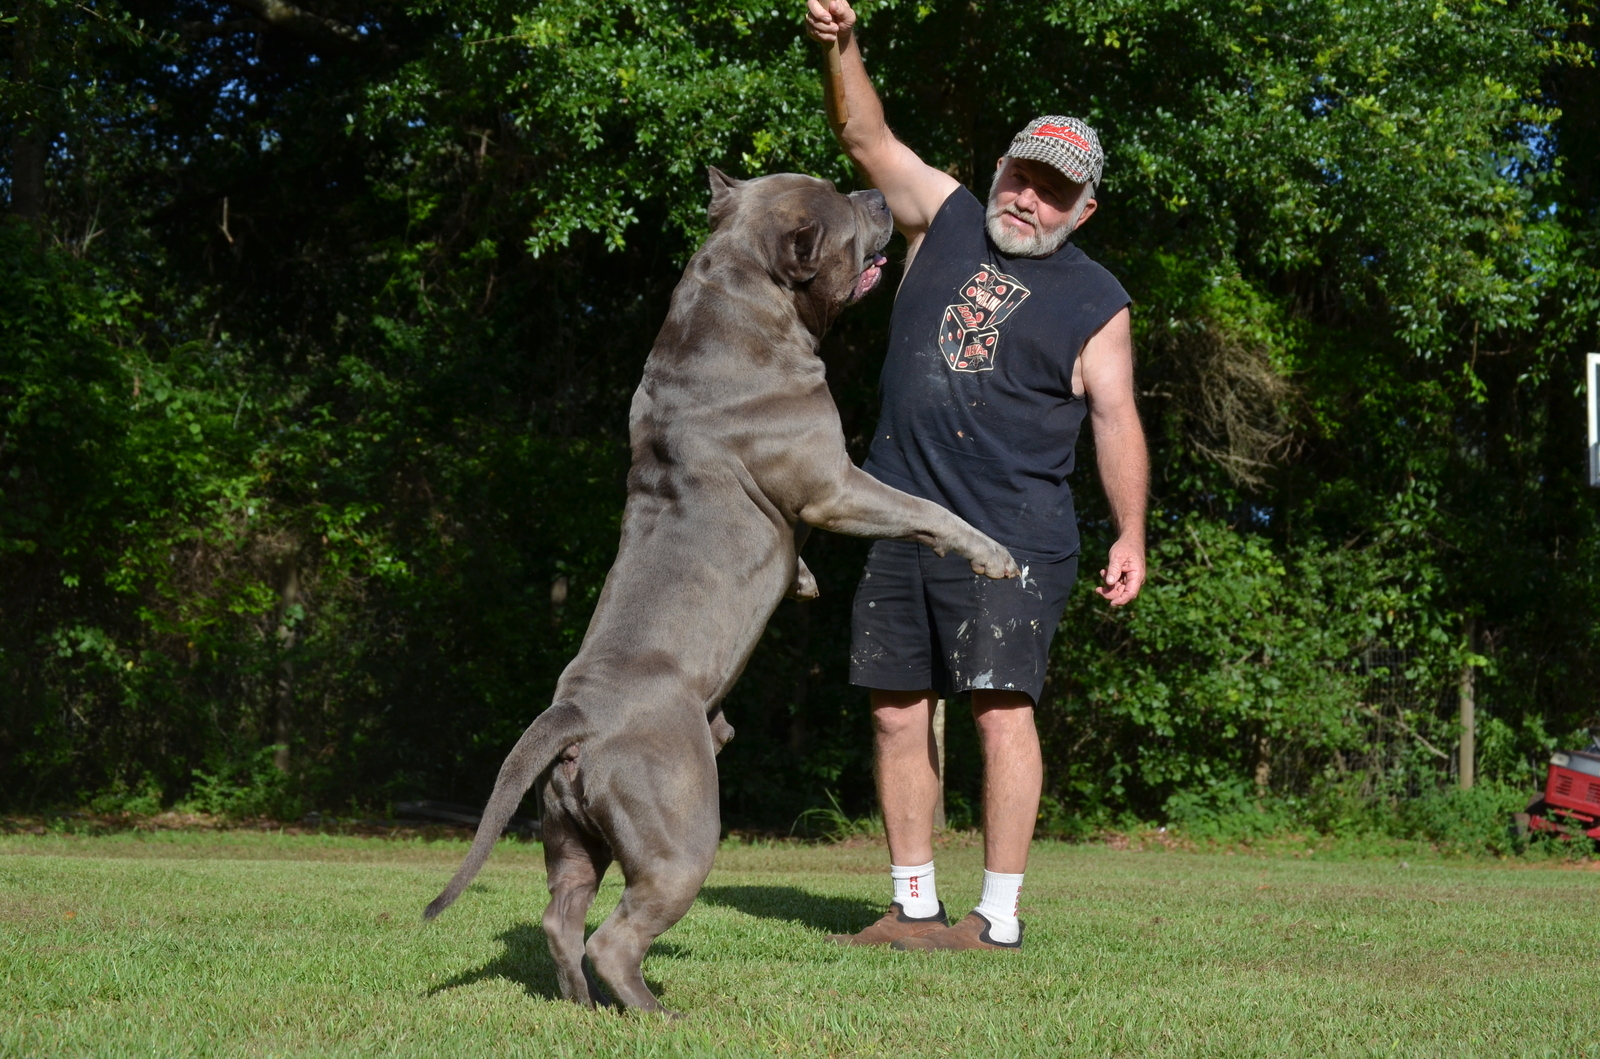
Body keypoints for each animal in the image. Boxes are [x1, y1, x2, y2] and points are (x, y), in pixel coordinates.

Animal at [425, 170, 1017, 1017]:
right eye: (845, 209)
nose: (877, 193)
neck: (740, 300)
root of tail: (576, 712)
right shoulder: (837, 486)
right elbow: (929, 510)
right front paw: (994, 555)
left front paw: (803, 581)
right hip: (680, 839)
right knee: (613, 934)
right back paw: (654, 1012)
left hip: (571, 837)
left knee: (560, 916)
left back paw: (582, 1007)